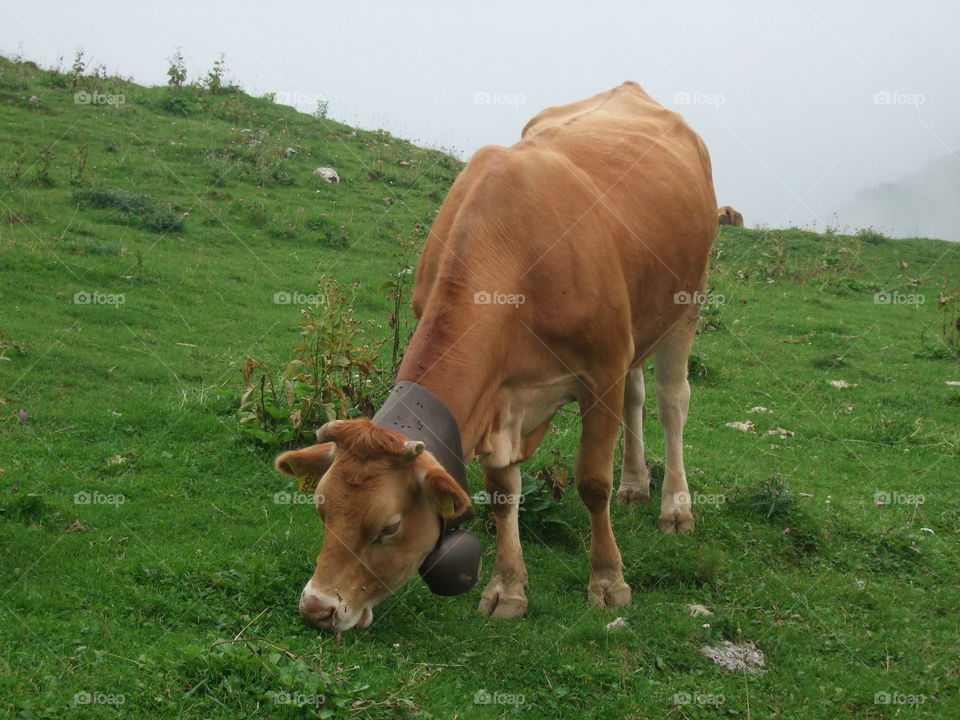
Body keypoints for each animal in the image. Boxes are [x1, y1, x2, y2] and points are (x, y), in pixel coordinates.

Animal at [275, 81, 717, 632]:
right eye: (322, 510)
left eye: (389, 527)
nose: (318, 608)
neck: (513, 258)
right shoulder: (499, 394)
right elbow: (504, 491)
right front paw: (507, 589)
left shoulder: (601, 371)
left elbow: (591, 482)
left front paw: (608, 581)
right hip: (640, 325)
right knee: (637, 396)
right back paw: (635, 484)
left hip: (687, 301)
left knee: (671, 402)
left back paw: (674, 508)